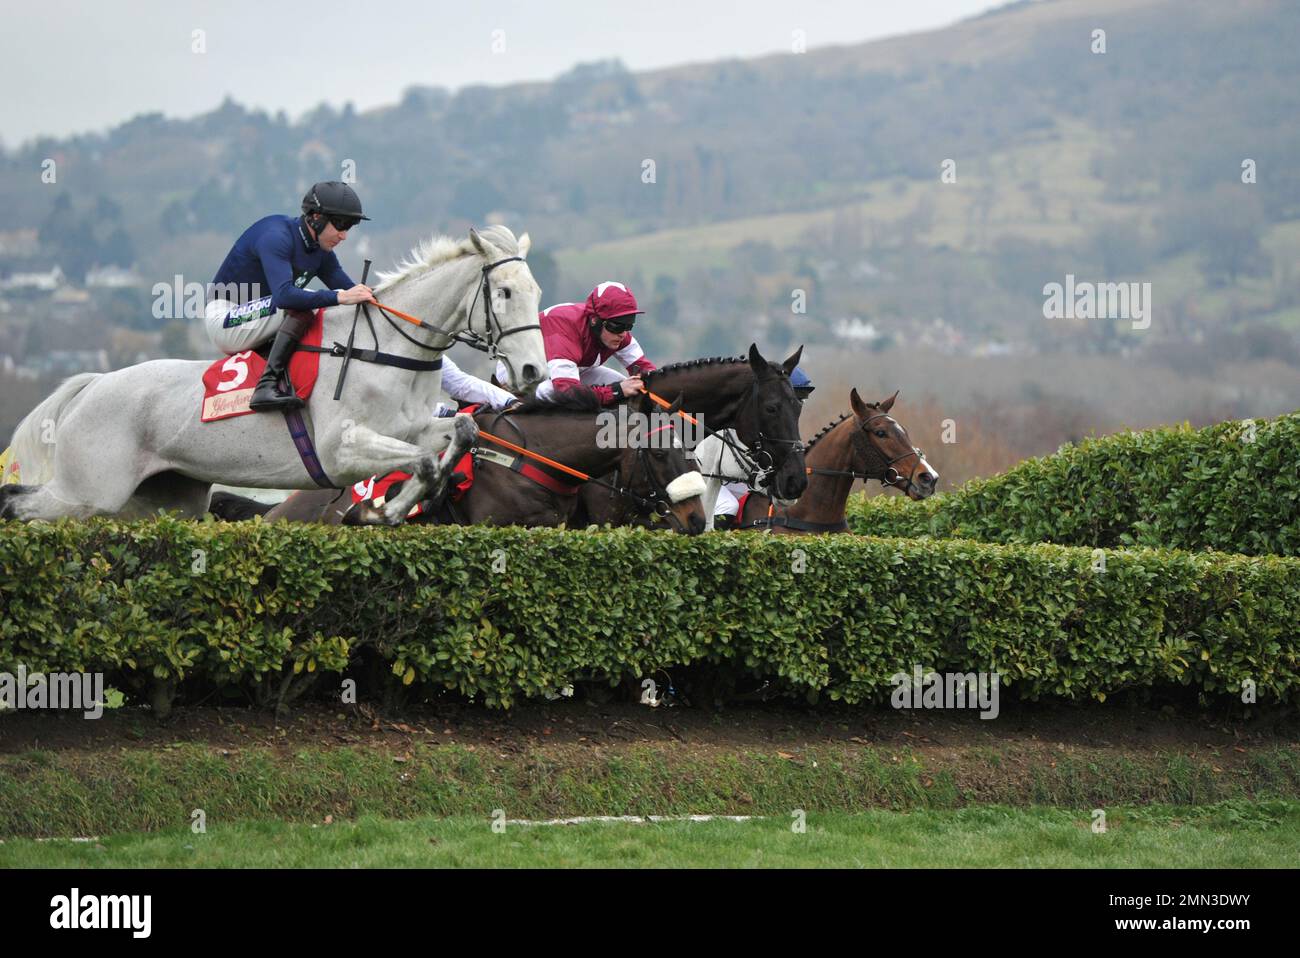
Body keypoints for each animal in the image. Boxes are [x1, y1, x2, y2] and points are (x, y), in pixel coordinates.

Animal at [1, 226, 548, 522]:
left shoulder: (410, 428)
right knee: (16, 504)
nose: (532, 371)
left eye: (537, 291)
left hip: (159, 501)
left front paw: (391, 509)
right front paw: (384, 510)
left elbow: (461, 433)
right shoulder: (341, 449)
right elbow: (426, 462)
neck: (387, 351)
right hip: (88, 491)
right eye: (503, 292)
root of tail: (91, 385)